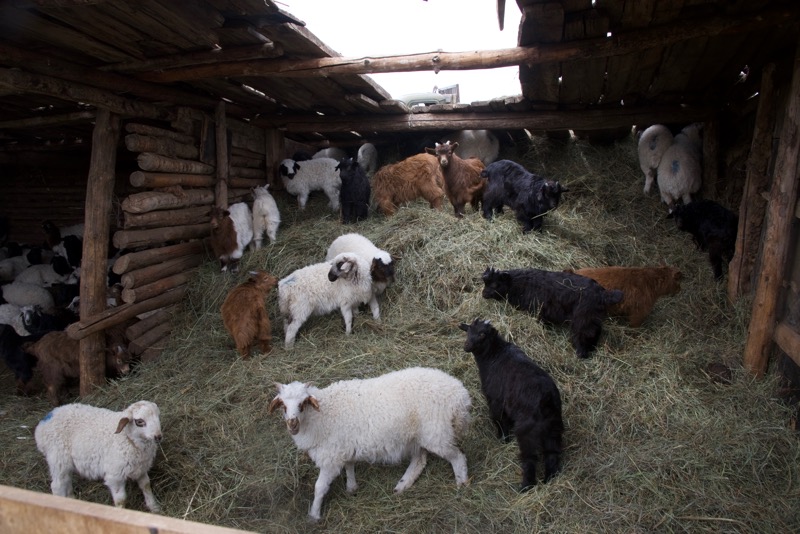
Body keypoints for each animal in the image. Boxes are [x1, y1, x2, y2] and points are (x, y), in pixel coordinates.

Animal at [34, 400, 162, 512]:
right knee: (57, 486)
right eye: (139, 421)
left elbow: (146, 485)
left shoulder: (141, 468)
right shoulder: (115, 476)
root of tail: (44, 422)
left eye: (157, 416)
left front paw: (154, 507)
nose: (158, 436)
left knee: (67, 480)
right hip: (57, 457)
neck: (127, 438)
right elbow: (121, 500)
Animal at [268, 366, 471, 522]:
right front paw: (351, 487)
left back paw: (461, 483)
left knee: (457, 457)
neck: (322, 415)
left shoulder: (330, 458)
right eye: (283, 405)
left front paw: (314, 515)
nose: (292, 424)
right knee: (419, 460)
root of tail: (459, 394)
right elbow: (349, 465)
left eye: (303, 403)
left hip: (437, 433)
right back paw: (402, 485)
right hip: (416, 437)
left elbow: (319, 488)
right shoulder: (343, 447)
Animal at [459, 318, 563, 489]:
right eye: (468, 331)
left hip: (527, 432)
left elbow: (498, 419)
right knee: (552, 454)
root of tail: (547, 399)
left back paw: (526, 486)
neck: (493, 355)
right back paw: (549, 479)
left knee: (529, 458)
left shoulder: (495, 400)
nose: (466, 345)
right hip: (553, 429)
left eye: (482, 334)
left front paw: (503, 438)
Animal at [481, 267, 623, 358]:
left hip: (583, 319)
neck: (518, 283)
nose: (483, 294)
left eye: (494, 284)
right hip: (593, 318)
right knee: (596, 332)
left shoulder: (541, 311)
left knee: (585, 334)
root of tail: (603, 295)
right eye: (485, 283)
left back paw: (581, 353)